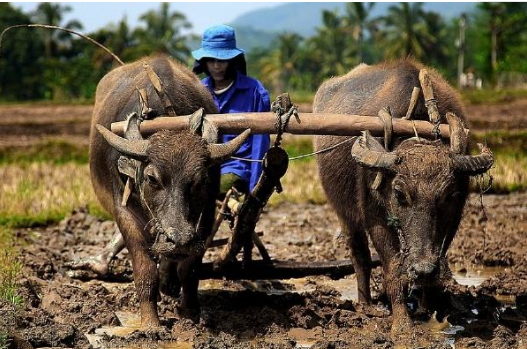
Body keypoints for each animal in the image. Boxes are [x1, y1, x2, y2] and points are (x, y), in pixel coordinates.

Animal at [91, 54, 252, 326]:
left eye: (200, 180)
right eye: (151, 178)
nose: (178, 239)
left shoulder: (206, 212)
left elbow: (189, 269)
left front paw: (190, 313)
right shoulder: (124, 209)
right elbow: (145, 269)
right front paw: (150, 323)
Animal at [314, 59, 496, 332]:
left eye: (448, 195)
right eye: (399, 194)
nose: (422, 269)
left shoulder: (453, 220)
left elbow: (438, 258)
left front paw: (427, 311)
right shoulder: (375, 218)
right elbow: (391, 270)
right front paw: (401, 325)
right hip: (344, 212)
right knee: (360, 256)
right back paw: (365, 304)